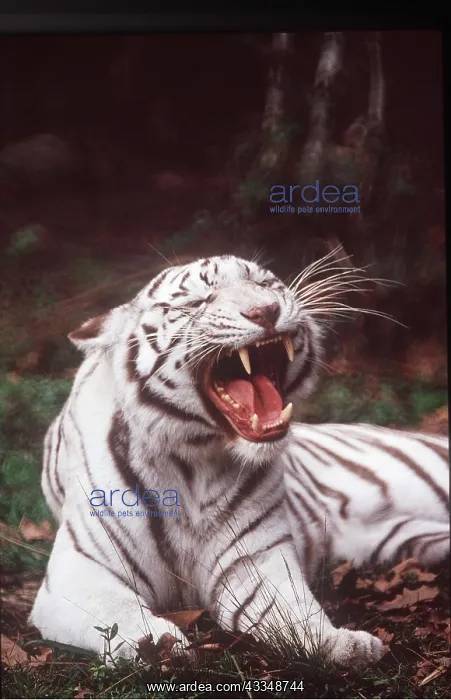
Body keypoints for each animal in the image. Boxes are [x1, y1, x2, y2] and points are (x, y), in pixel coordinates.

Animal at [29, 253, 449, 670]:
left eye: (264, 283)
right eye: (197, 302)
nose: (266, 310)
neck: (192, 464)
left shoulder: (253, 560)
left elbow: (294, 611)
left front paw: (344, 645)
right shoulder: (78, 571)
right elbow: (119, 610)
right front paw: (159, 646)